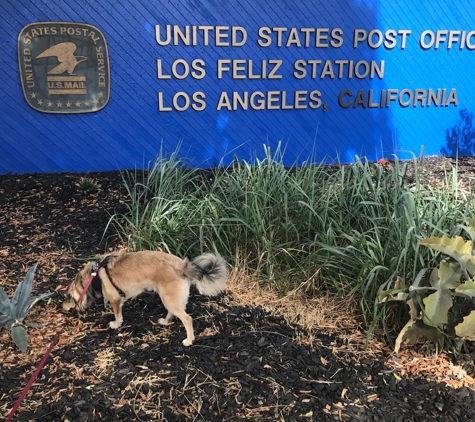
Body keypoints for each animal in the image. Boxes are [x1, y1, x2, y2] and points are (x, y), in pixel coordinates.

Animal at [62, 251, 229, 346]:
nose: (62, 307)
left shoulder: (116, 299)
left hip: (169, 298)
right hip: (167, 298)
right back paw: (165, 322)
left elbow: (117, 315)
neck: (94, 277)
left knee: (187, 319)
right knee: (172, 313)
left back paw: (189, 340)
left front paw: (116, 324)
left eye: (68, 296)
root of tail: (182, 265)